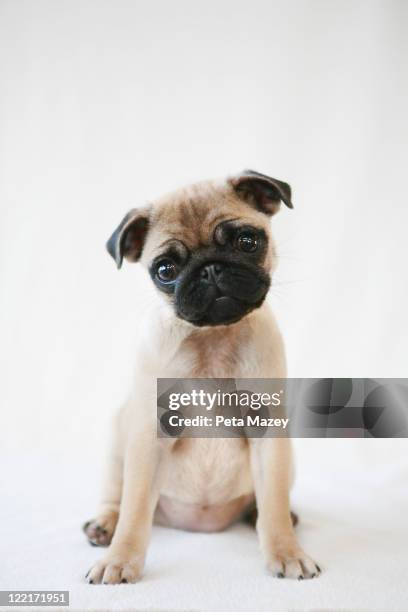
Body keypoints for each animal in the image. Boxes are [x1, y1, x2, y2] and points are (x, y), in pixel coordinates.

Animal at [82, 171, 318, 584]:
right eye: (165, 270)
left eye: (247, 241)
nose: (210, 268)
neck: (213, 337)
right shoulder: (148, 436)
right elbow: (134, 510)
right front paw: (119, 559)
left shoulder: (269, 432)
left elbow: (272, 501)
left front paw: (287, 551)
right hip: (117, 443)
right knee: (117, 498)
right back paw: (103, 525)